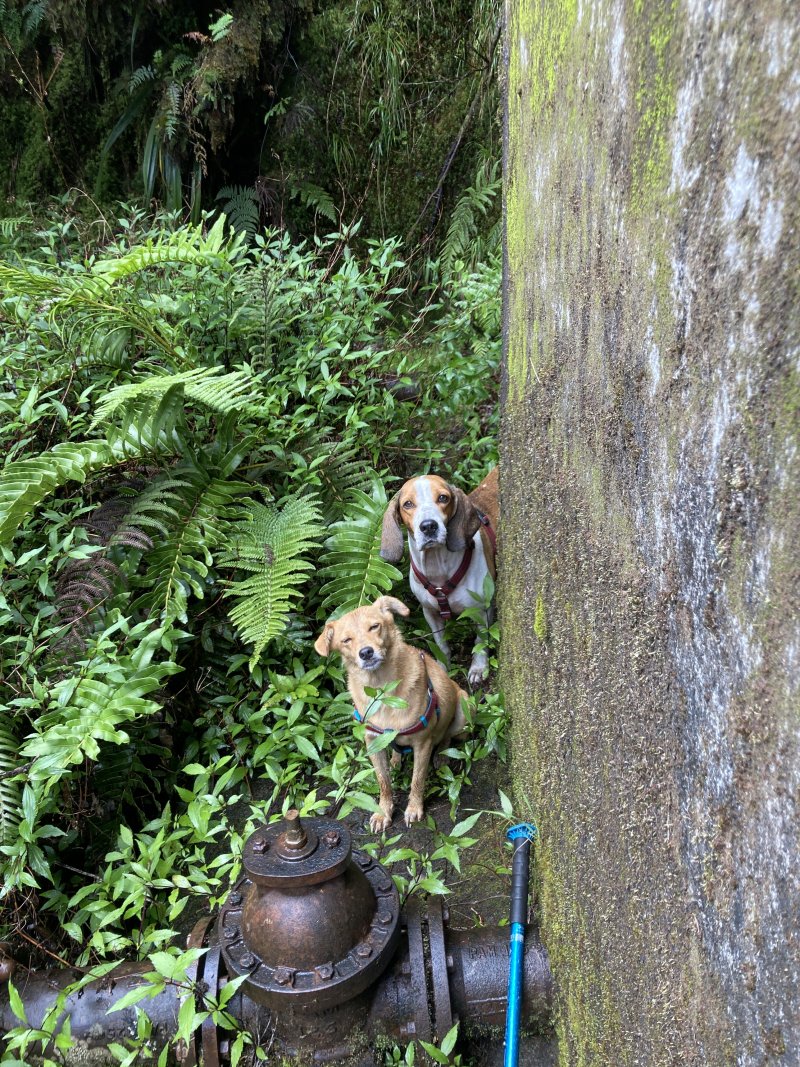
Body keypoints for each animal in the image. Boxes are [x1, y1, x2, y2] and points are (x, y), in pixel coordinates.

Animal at [314, 596, 467, 832]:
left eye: (374, 626)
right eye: (346, 640)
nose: (366, 652)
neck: (382, 691)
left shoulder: (422, 743)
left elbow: (417, 780)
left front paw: (414, 809)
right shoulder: (373, 743)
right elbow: (383, 782)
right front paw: (383, 812)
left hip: (463, 707)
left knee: (447, 736)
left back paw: (441, 754)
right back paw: (396, 758)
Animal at [379, 468, 498, 686]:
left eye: (443, 498)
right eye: (407, 504)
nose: (428, 526)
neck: (438, 570)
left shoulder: (480, 610)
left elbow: (480, 641)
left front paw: (479, 668)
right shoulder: (430, 613)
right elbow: (441, 645)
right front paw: (441, 669)